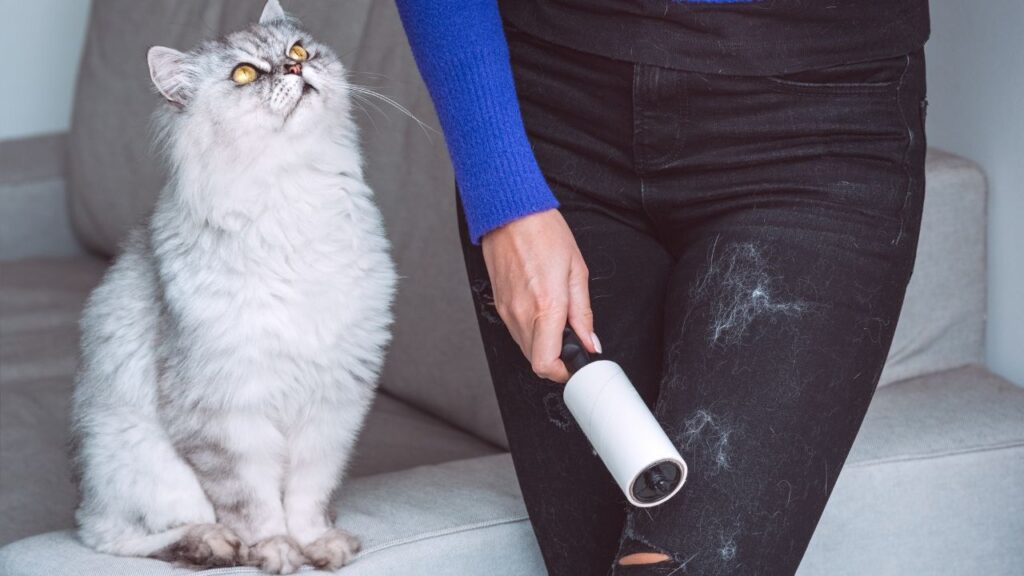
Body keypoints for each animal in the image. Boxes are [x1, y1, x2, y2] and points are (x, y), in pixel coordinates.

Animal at [68, 3, 395, 569]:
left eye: (298, 50)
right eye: (243, 74)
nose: (294, 69)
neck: (295, 200)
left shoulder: (331, 403)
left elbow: (308, 496)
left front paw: (316, 544)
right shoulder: (225, 412)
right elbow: (254, 504)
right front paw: (277, 552)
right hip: (138, 461)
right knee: (118, 536)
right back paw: (213, 545)